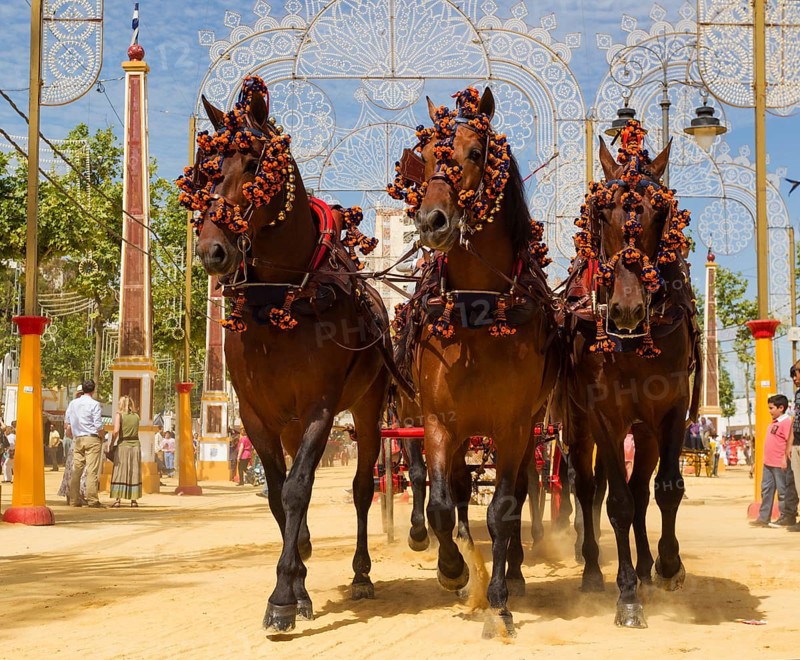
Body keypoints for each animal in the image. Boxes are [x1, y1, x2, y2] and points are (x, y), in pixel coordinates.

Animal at [180, 76, 394, 633]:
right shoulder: (257, 415)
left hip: (366, 410)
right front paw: (295, 584)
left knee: (362, 486)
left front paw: (281, 597)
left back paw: (361, 574)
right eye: (207, 169)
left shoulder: (321, 407)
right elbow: (279, 495)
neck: (280, 297)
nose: (211, 250)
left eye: (255, 164)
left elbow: (298, 489)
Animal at [388, 87, 558, 638]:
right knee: (457, 491)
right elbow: (443, 504)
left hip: (529, 430)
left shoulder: (513, 426)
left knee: (523, 492)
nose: (432, 221)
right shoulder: (440, 421)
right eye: (426, 157)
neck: (478, 311)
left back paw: (516, 572)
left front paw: (500, 598)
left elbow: (503, 509)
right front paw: (453, 570)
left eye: (477, 153)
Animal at [560, 120, 701, 628]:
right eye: (602, 214)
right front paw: (627, 597)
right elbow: (616, 503)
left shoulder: (672, 408)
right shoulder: (603, 414)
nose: (624, 310)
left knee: (642, 489)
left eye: (661, 214)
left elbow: (667, 488)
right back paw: (593, 571)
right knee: (587, 489)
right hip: (580, 426)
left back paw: (645, 566)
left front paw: (669, 565)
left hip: (644, 428)